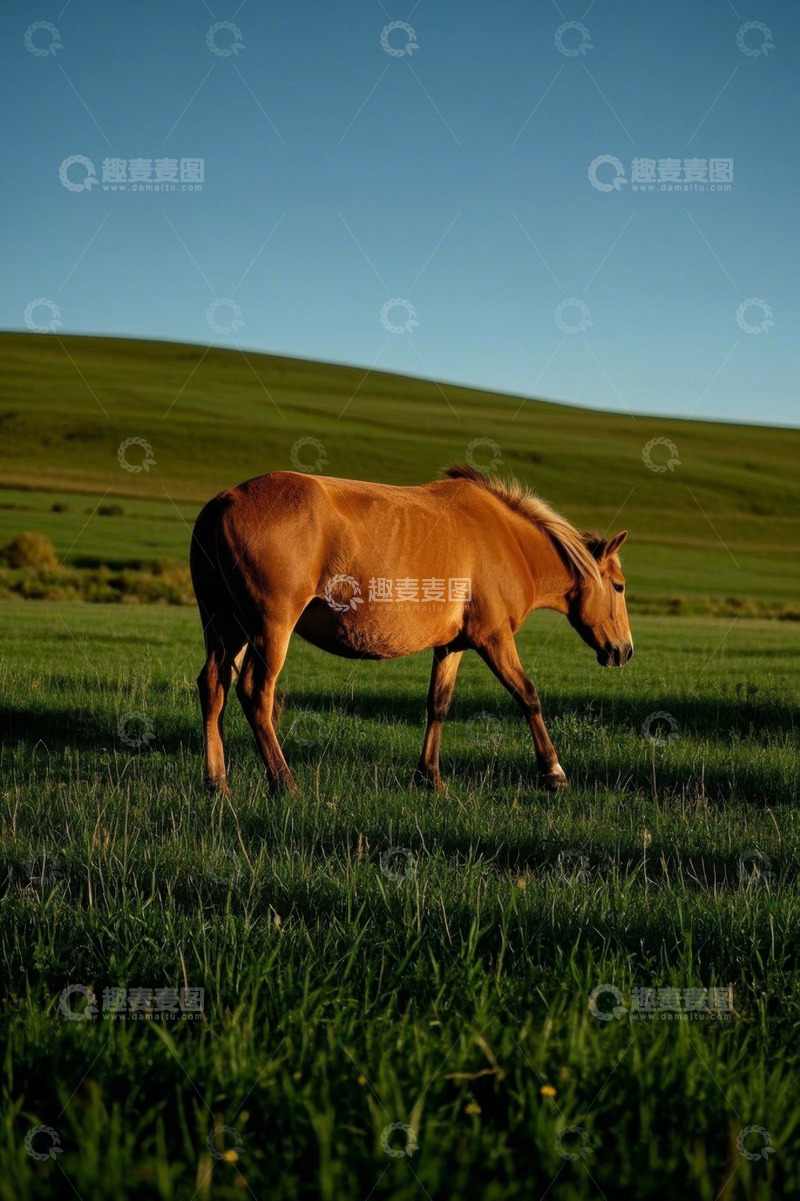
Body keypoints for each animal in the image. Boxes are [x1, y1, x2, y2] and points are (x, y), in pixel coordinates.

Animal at [190, 464, 633, 796]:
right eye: (619, 586)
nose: (624, 651)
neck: (508, 541)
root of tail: (226, 500)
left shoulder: (452, 646)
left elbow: (438, 704)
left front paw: (429, 777)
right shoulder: (493, 638)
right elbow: (527, 696)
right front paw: (553, 772)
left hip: (227, 627)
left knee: (213, 687)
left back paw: (217, 783)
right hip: (270, 629)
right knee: (255, 693)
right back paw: (285, 783)